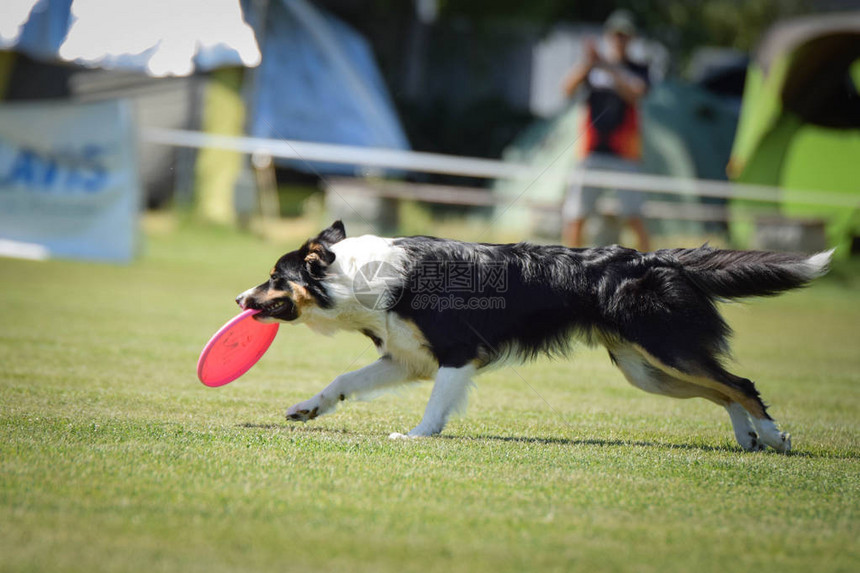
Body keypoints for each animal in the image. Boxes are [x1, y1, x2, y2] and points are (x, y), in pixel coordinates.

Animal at [235, 221, 832, 450]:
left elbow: (435, 406)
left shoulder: (457, 354)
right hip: (647, 370)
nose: (239, 300)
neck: (357, 276)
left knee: (740, 383)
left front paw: (417, 436)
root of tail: (656, 257)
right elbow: (343, 379)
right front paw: (307, 409)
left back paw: (775, 436)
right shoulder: (406, 357)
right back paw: (749, 439)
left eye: (274, 277)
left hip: (664, 348)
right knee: (723, 387)